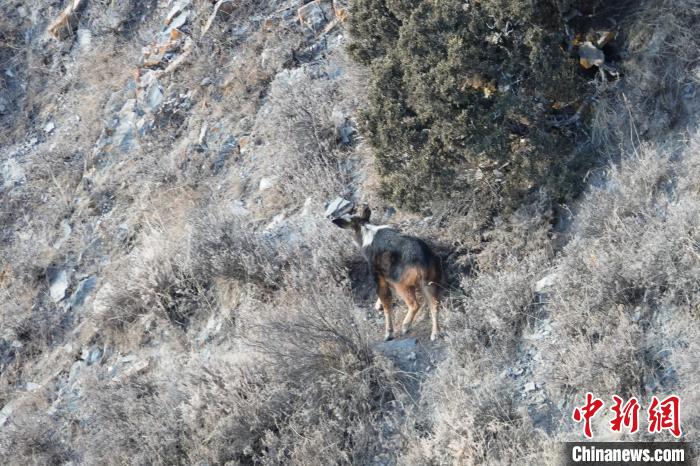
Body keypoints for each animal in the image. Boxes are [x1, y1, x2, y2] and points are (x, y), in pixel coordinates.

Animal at [327, 200, 442, 341]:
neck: (365, 233)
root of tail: (423, 260)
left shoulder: (378, 276)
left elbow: (387, 304)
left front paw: (388, 333)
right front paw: (378, 306)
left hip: (401, 283)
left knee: (415, 304)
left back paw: (405, 326)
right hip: (429, 281)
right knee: (435, 304)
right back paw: (435, 333)